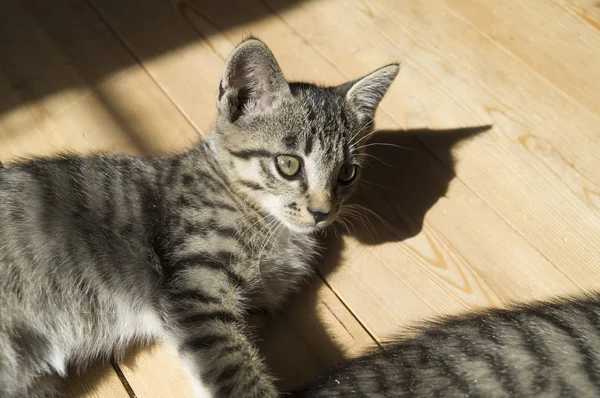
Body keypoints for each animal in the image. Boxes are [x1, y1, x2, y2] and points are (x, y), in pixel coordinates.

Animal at [1, 38, 404, 398]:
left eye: (347, 174)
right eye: (288, 165)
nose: (322, 212)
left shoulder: (251, 307)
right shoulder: (197, 291)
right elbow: (235, 371)